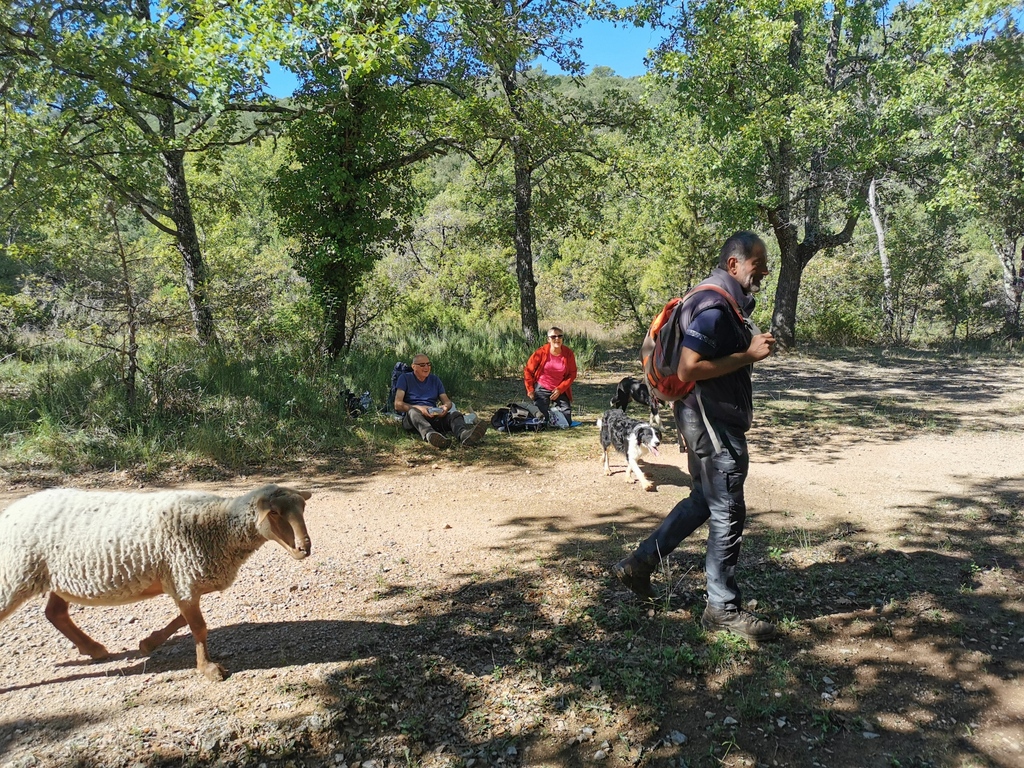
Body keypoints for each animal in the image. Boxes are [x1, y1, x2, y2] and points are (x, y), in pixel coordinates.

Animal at [0, 483, 311, 684]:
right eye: (274, 513)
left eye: (303, 508)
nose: (304, 548)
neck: (217, 525)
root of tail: (12, 509)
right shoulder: (184, 577)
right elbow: (198, 626)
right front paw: (208, 669)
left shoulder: (181, 580)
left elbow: (184, 621)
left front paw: (148, 643)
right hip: (14, 574)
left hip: (56, 578)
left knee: (55, 613)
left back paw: (95, 649)